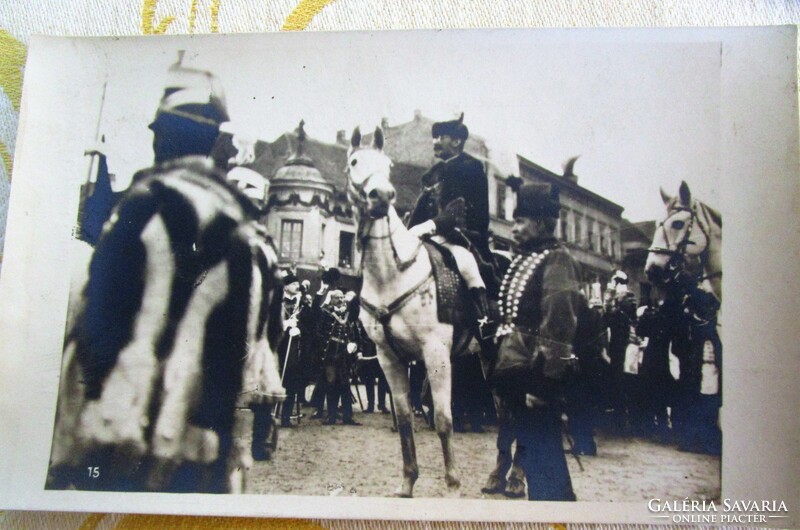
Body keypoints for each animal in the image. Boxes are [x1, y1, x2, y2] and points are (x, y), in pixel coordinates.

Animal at [346, 127, 472, 496]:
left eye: (388, 165)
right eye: (354, 161)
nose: (382, 195)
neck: (391, 274)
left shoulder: (436, 353)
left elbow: (444, 419)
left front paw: (454, 484)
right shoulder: (388, 357)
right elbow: (403, 419)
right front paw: (407, 482)